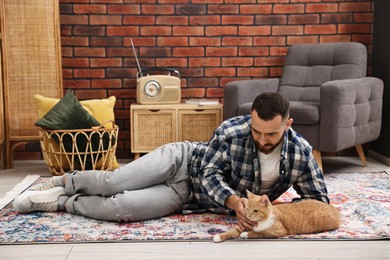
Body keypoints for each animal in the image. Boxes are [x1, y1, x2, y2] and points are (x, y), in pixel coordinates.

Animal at [213, 190, 342, 243]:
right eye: (247, 208)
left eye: (255, 210)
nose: (248, 215)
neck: (259, 222)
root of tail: (334, 209)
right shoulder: (242, 225)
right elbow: (230, 232)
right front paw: (218, 236)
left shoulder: (278, 231)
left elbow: (260, 233)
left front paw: (246, 234)